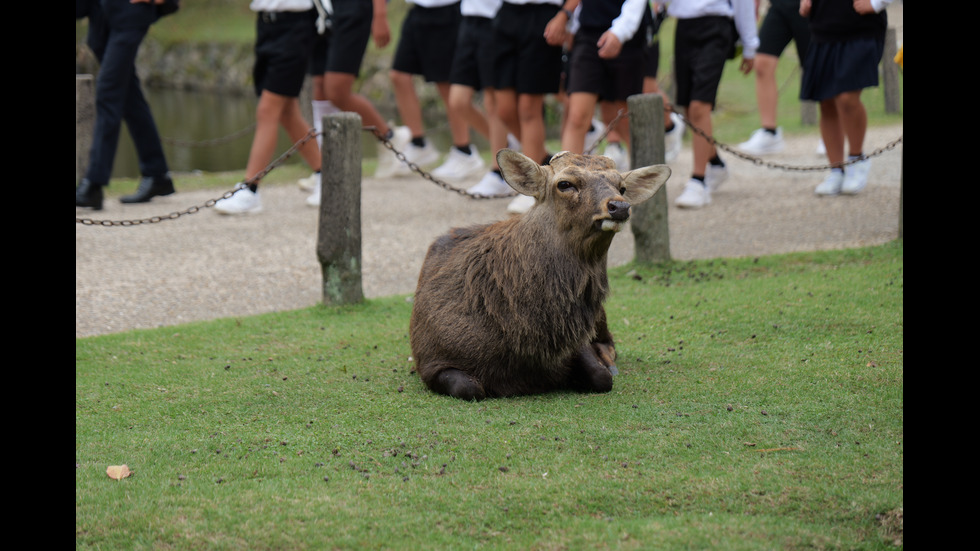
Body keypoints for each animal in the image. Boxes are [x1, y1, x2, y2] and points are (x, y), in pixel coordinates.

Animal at [408, 151, 672, 402]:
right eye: (565, 184)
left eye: (622, 186)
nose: (620, 206)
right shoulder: (431, 360)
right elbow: (468, 387)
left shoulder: (575, 341)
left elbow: (601, 377)